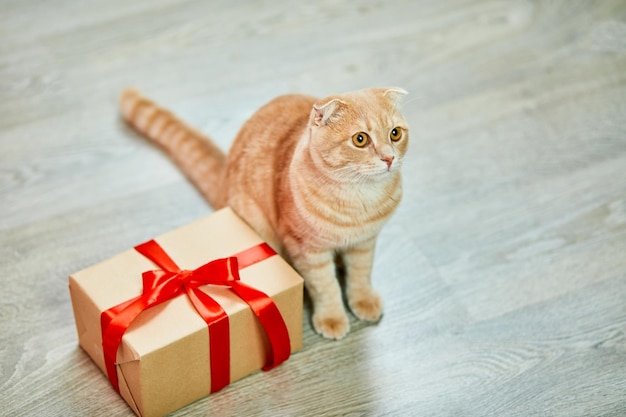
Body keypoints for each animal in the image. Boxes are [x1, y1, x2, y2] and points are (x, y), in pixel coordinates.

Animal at [119, 88, 408, 338]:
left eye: (395, 134)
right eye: (360, 139)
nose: (389, 158)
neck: (359, 201)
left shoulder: (365, 242)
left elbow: (360, 274)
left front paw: (363, 299)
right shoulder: (306, 249)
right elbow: (325, 286)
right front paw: (332, 317)